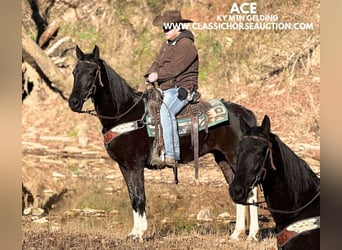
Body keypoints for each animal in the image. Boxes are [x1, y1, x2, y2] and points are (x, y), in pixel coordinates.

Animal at [68, 46, 258, 241]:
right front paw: (133, 232)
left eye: (92, 72)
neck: (124, 113)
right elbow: (133, 197)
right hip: (223, 159)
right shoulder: (124, 166)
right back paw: (236, 234)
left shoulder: (135, 165)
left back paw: (252, 235)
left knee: (251, 191)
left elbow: (140, 197)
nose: (73, 103)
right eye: (75, 72)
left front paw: (139, 233)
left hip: (235, 157)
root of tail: (244, 113)